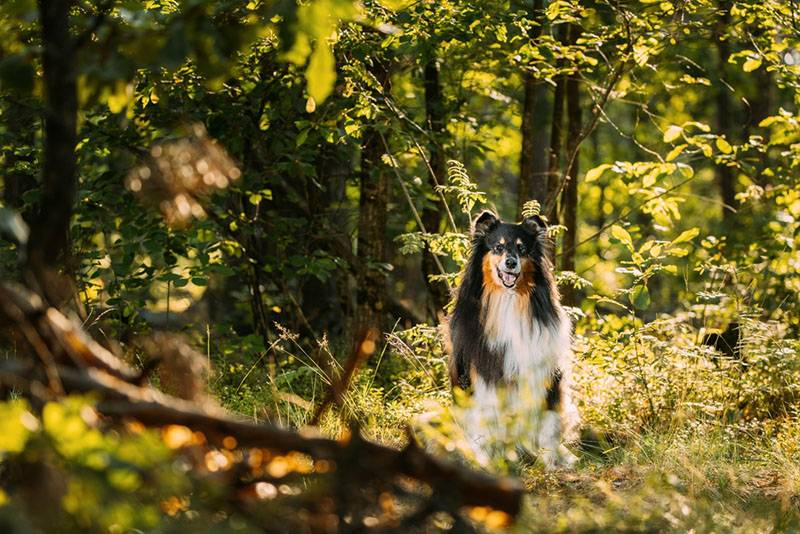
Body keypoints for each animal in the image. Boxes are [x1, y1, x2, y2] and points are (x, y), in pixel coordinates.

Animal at [446, 211, 580, 472]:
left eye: (522, 249)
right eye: (498, 247)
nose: (510, 263)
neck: (508, 300)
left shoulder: (544, 372)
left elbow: (547, 421)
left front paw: (549, 462)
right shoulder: (482, 373)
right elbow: (484, 418)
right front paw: (485, 459)